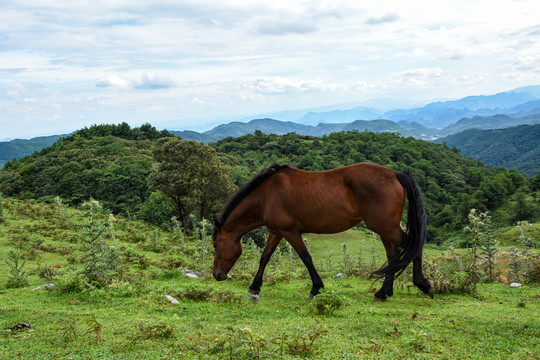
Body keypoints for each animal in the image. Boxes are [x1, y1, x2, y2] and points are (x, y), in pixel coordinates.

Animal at [211, 162, 434, 300]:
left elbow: (306, 258)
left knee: (413, 247)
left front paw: (316, 288)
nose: (217, 275)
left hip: (385, 227)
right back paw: (384, 292)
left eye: (216, 244)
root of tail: (395, 174)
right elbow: (265, 257)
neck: (267, 195)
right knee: (394, 255)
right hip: (385, 229)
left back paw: (421, 285)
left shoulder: (290, 231)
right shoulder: (276, 232)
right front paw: (255, 286)